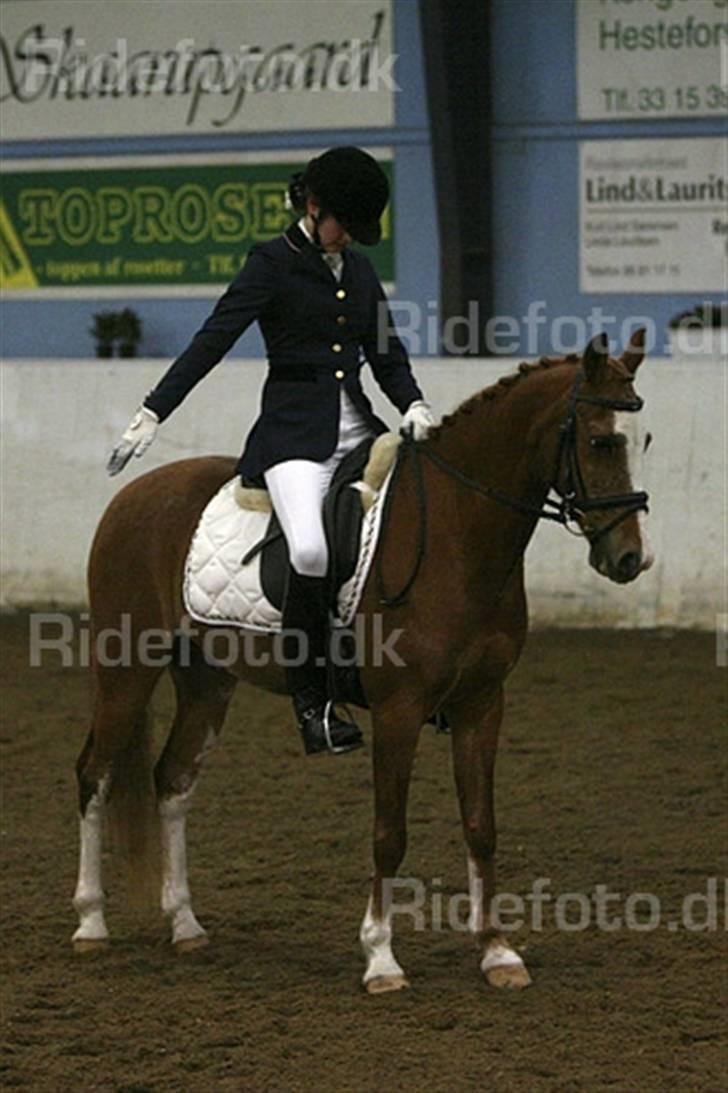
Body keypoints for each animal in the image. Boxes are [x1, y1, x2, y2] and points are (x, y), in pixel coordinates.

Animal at [72, 332, 651, 992]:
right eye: (601, 440)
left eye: (645, 440)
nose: (628, 558)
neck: (457, 531)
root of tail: (134, 495)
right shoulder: (399, 711)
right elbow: (388, 833)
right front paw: (381, 958)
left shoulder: (482, 703)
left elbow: (481, 826)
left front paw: (498, 952)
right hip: (126, 669)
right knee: (95, 774)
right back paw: (91, 924)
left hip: (206, 681)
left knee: (172, 780)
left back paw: (185, 925)